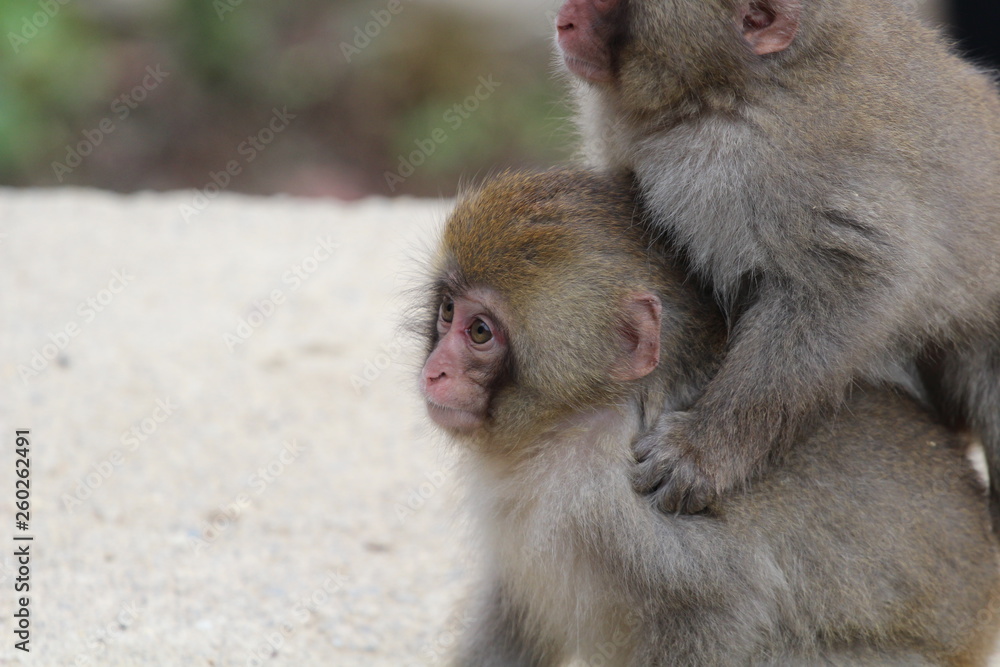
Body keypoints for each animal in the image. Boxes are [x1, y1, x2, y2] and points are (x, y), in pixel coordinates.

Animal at [418, 170, 1000, 664]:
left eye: (480, 332)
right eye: (447, 312)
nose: (434, 371)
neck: (573, 421)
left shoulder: (607, 501)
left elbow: (720, 606)